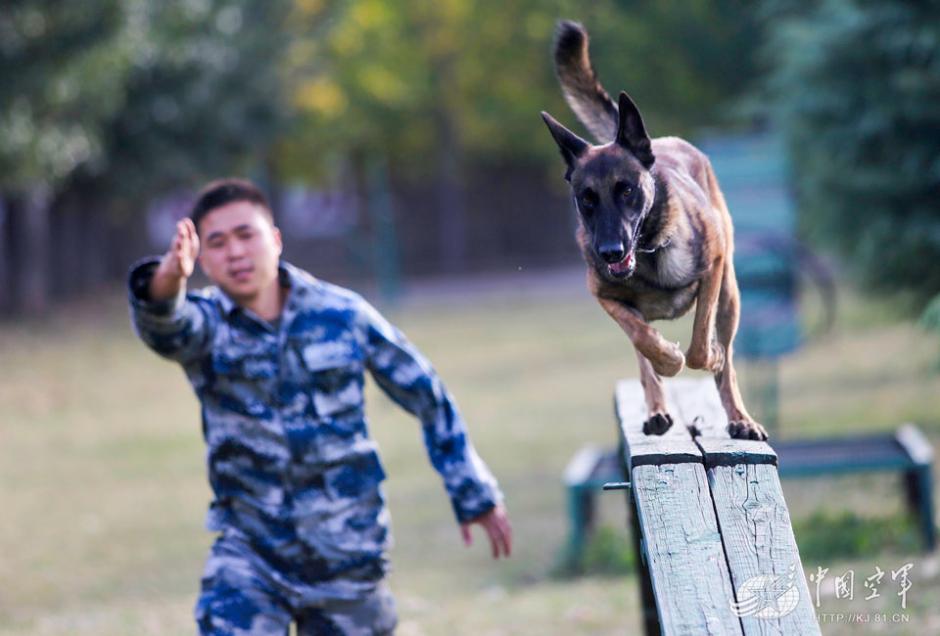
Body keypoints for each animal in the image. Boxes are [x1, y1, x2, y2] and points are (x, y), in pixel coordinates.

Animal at [540, 17, 768, 440]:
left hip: (730, 295)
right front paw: (666, 359)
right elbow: (643, 340)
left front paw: (703, 356)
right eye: (586, 199)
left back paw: (739, 417)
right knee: (643, 357)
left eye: (626, 190)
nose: (610, 252)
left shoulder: (712, 269)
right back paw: (658, 408)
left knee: (726, 365)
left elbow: (701, 345)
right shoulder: (605, 295)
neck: (649, 251)